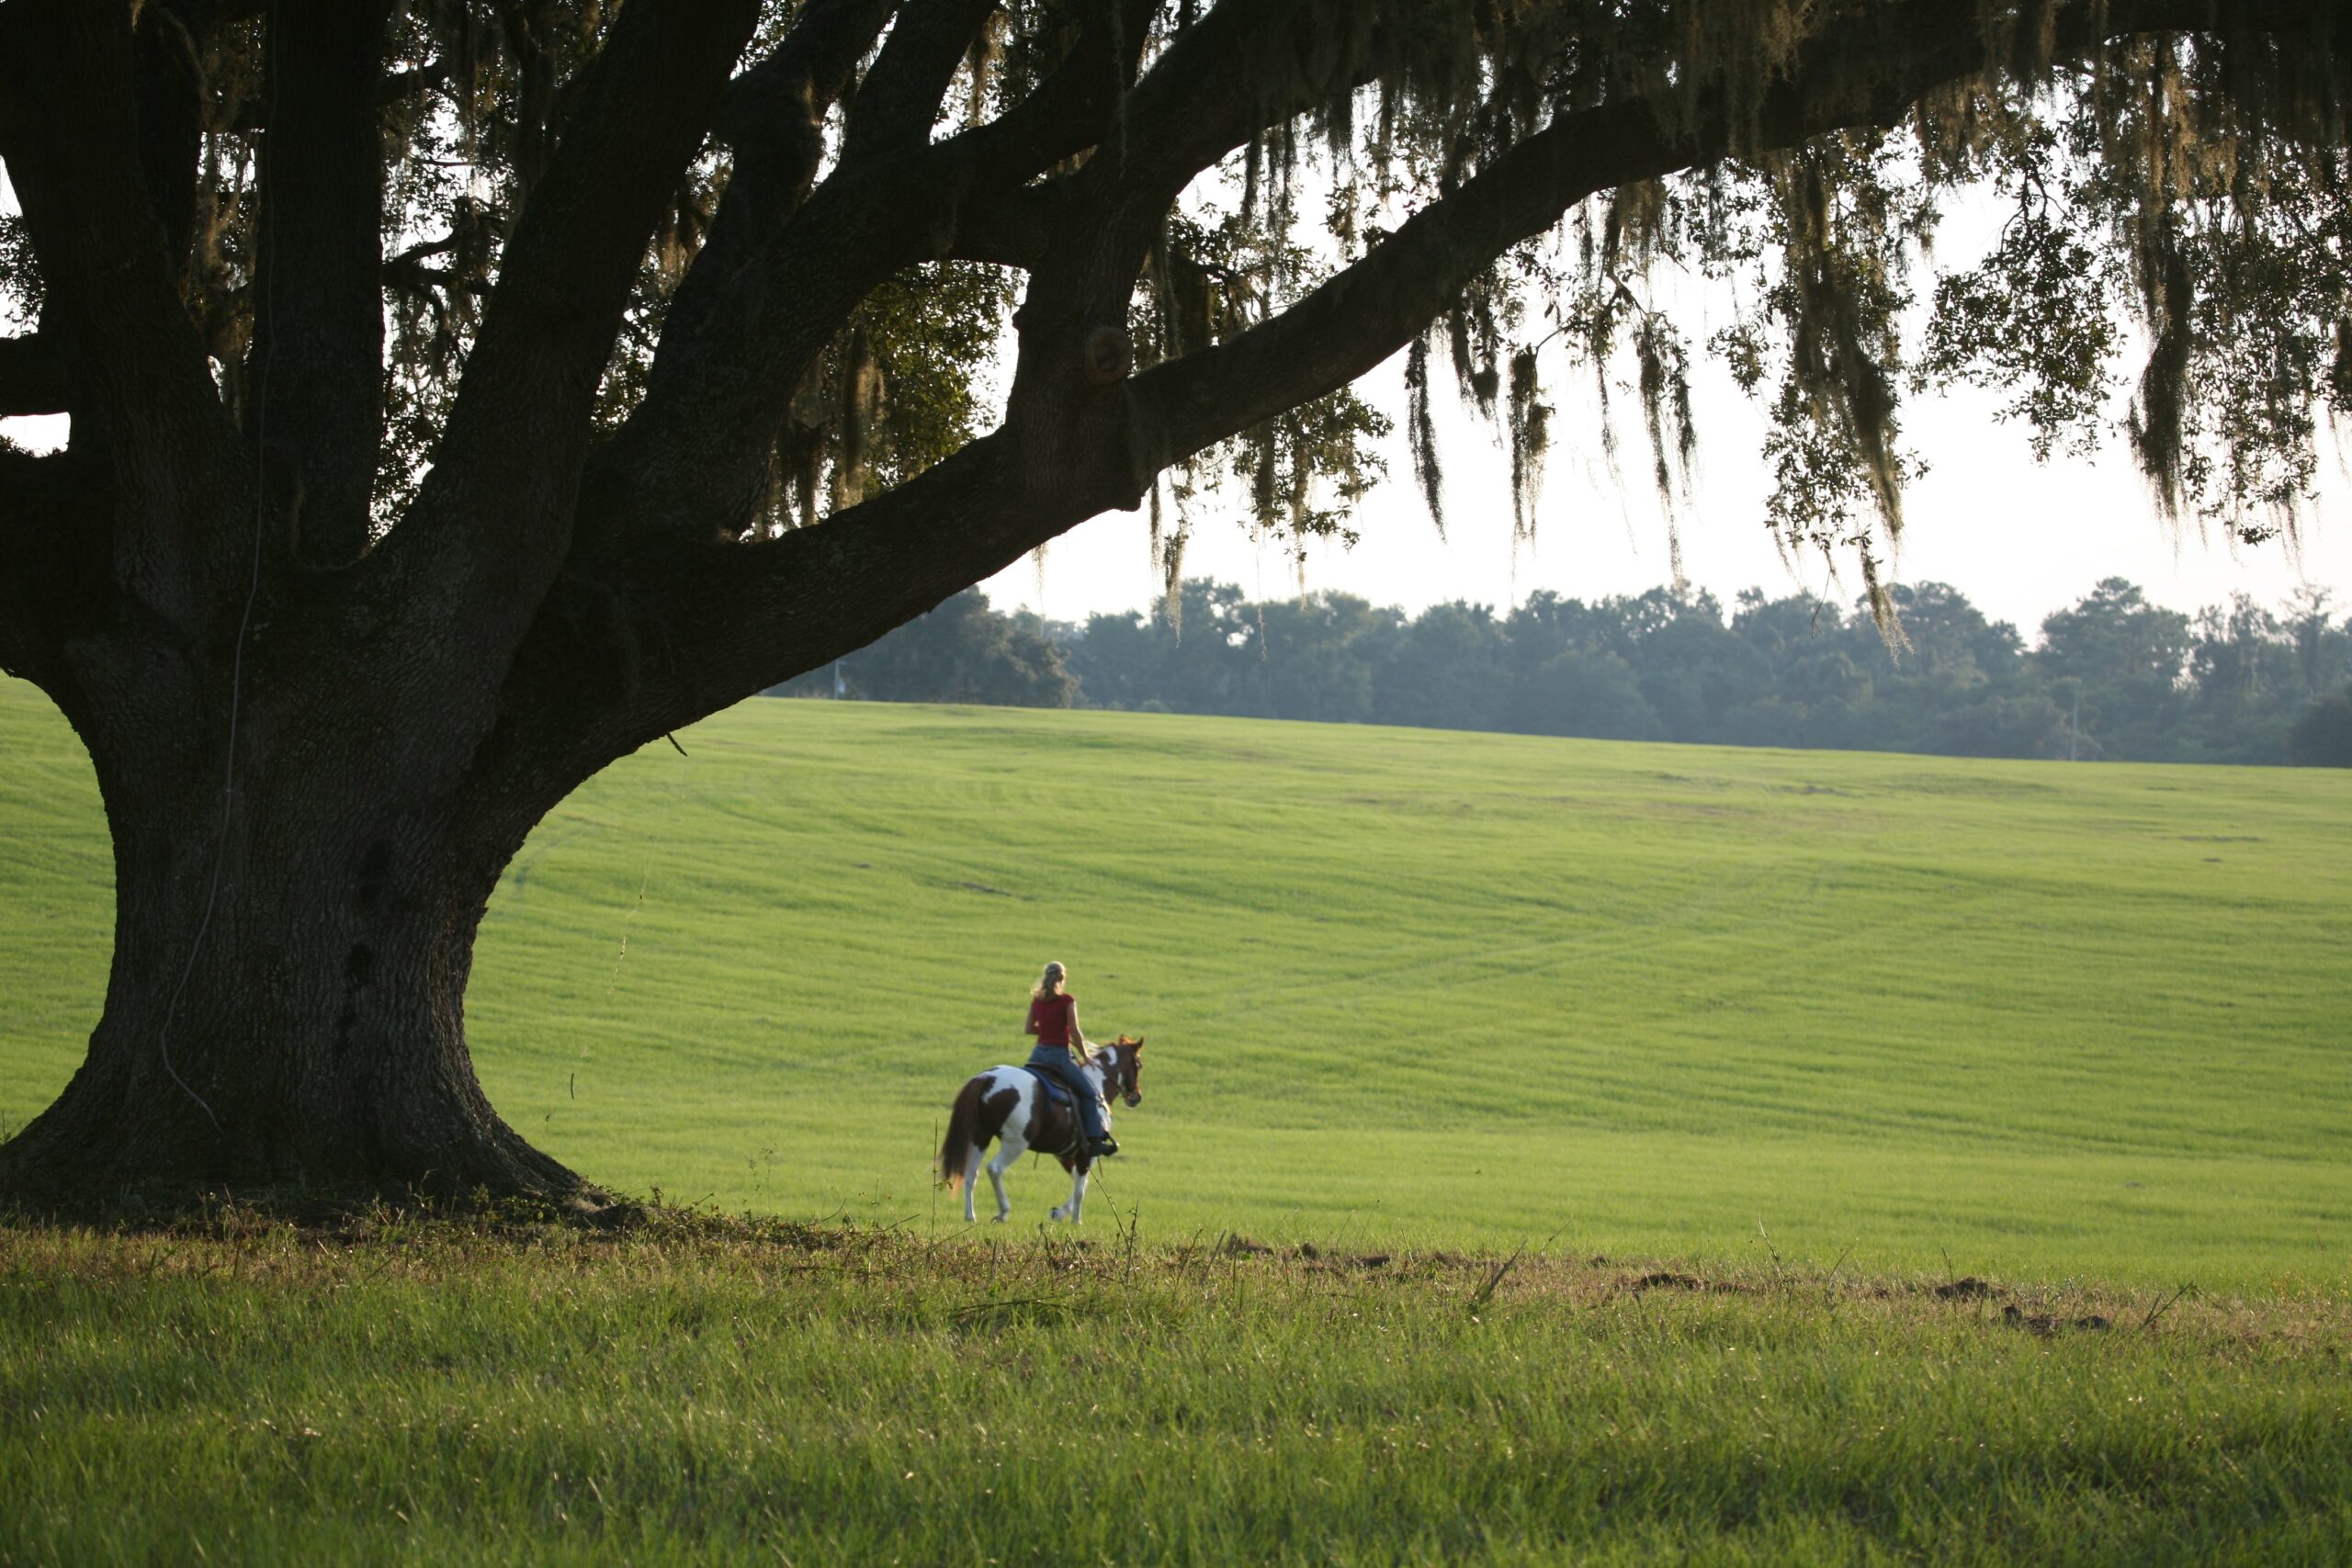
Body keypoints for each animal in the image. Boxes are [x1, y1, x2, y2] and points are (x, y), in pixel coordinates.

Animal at [945, 1043, 1148, 1222]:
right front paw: (1076, 1220)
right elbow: (1080, 1189)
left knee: (971, 1173)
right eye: (1138, 1065)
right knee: (994, 1169)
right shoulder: (1088, 1153)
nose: (1137, 1096)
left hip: (980, 1138)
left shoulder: (1064, 1153)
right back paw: (1003, 1211)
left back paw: (970, 1216)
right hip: (1015, 1143)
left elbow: (1079, 1181)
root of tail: (987, 1078)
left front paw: (1059, 1213)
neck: (1098, 1087)